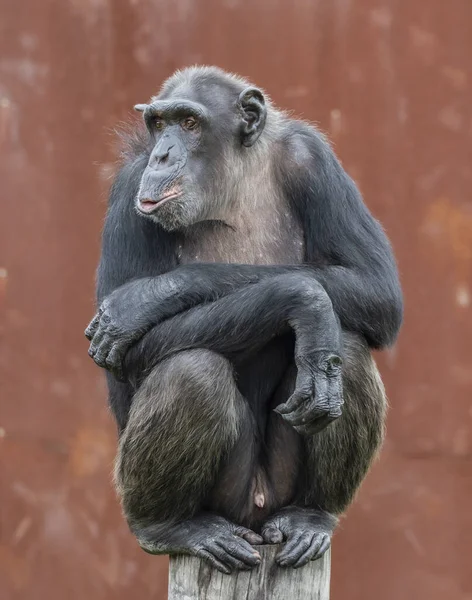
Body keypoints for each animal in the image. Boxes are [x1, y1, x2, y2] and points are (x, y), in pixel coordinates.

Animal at [85, 65, 402, 572]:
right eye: (158, 123)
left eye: (189, 123)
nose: (162, 153)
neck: (231, 179)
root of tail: (256, 516)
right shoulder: (130, 188)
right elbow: (131, 354)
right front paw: (303, 298)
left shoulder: (314, 160)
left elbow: (376, 287)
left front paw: (144, 299)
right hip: (226, 499)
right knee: (191, 371)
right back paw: (168, 526)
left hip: (278, 490)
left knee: (349, 350)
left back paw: (312, 516)